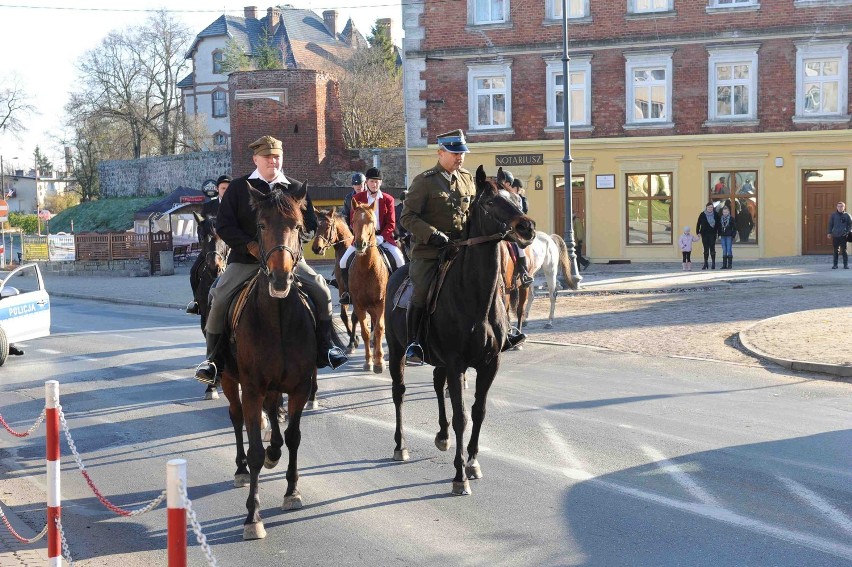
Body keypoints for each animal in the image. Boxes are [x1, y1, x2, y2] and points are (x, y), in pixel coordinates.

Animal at [220, 185, 320, 540]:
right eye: (261, 225)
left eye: (297, 225)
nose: (280, 278)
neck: (277, 318)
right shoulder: (251, 388)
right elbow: (254, 450)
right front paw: (253, 516)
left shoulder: (300, 386)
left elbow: (293, 436)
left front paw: (292, 492)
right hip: (229, 379)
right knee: (236, 418)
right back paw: (238, 468)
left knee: (275, 416)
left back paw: (275, 452)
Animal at [310, 206, 360, 352]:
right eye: (317, 226)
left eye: (328, 226)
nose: (316, 248)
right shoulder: (343, 290)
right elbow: (344, 316)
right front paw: (353, 340)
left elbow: (354, 316)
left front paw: (353, 340)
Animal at [384, 166, 536, 494]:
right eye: (490, 202)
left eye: (515, 198)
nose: (527, 227)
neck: (474, 296)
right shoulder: (456, 363)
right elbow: (461, 417)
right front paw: (459, 476)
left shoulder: (489, 363)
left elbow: (478, 411)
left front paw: (473, 462)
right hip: (398, 349)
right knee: (399, 392)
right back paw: (401, 445)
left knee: (435, 382)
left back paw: (441, 437)